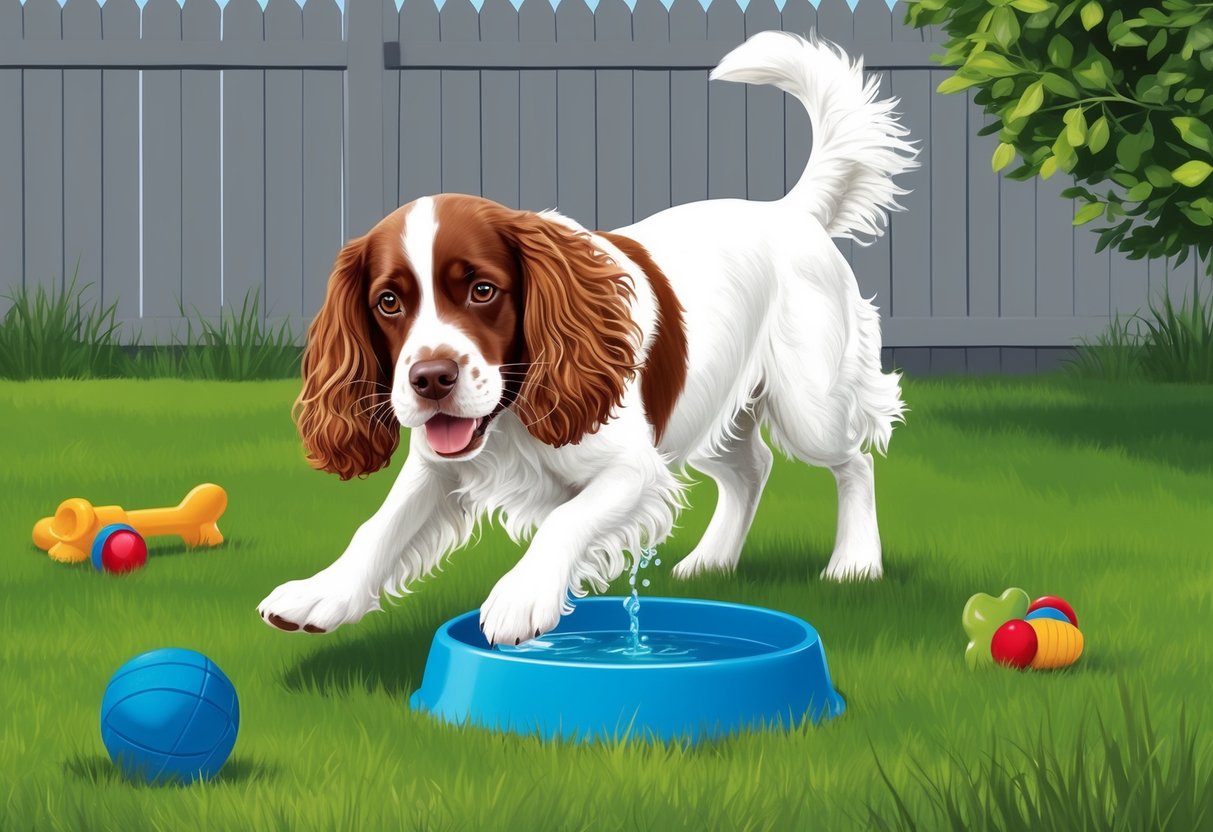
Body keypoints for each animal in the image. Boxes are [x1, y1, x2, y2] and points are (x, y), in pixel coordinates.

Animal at [258, 30, 917, 645]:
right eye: (388, 302)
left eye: (483, 291)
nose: (431, 380)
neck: (514, 414)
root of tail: (790, 211)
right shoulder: (436, 465)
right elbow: (380, 525)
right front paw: (322, 595)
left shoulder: (633, 469)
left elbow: (564, 521)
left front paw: (519, 598)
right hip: (707, 406)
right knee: (750, 467)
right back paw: (710, 562)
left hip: (810, 405)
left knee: (854, 462)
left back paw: (855, 564)